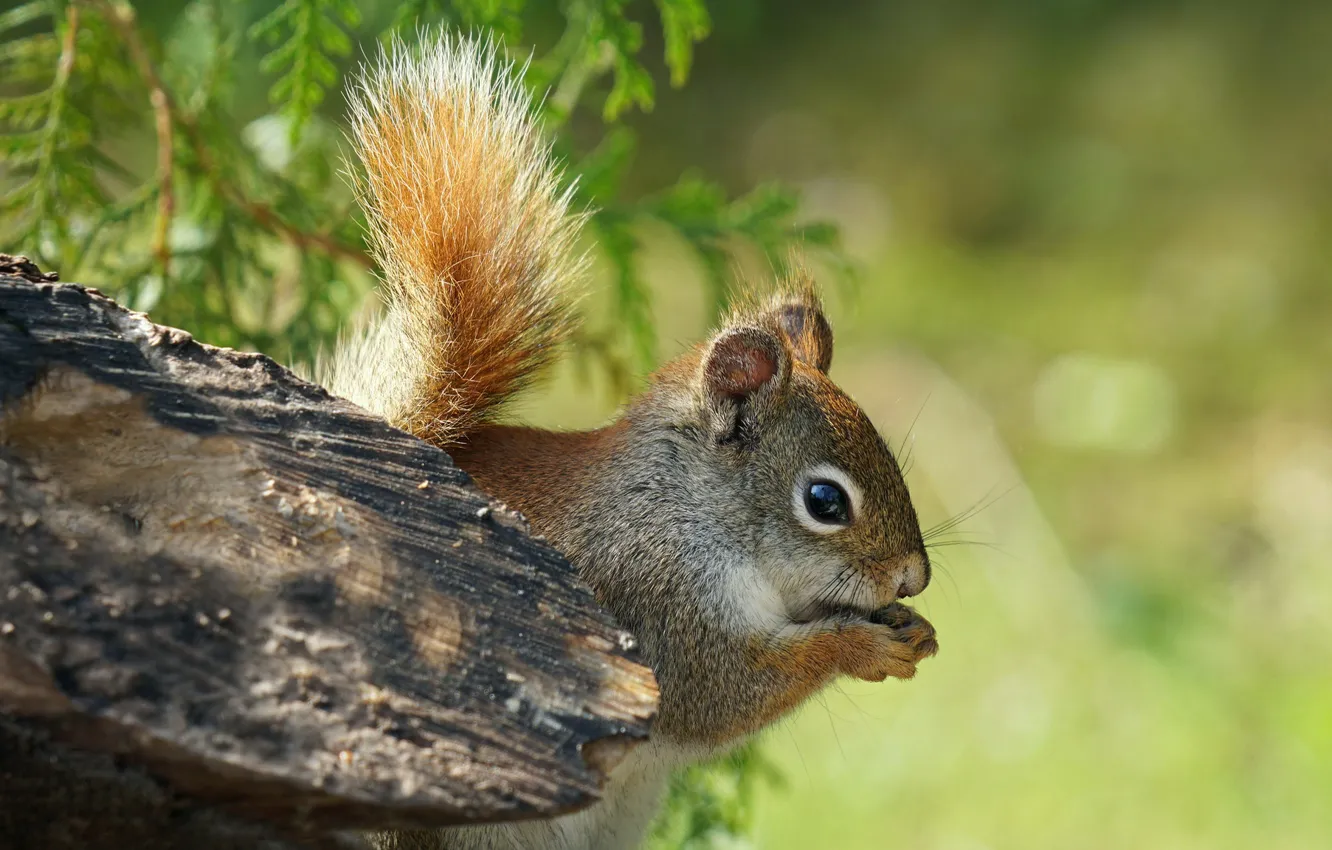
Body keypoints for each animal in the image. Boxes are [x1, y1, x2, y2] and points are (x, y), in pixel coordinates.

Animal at [325, 33, 937, 850]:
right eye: (824, 501)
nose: (913, 579)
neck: (683, 510)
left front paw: (909, 627)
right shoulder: (649, 600)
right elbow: (718, 694)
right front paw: (862, 646)